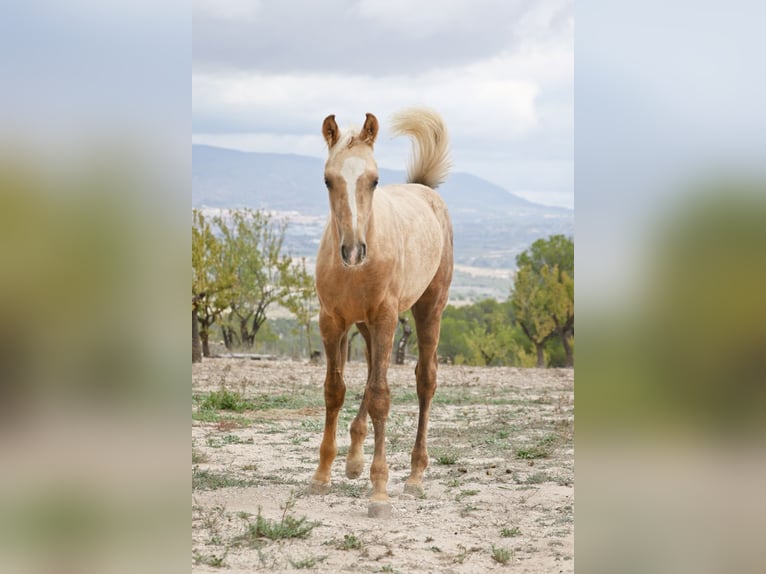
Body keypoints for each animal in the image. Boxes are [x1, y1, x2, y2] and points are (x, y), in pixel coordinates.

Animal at [310, 107, 456, 516]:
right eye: (327, 180)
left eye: (374, 180)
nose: (353, 251)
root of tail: (425, 192)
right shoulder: (332, 321)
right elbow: (335, 390)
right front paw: (322, 475)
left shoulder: (386, 319)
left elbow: (380, 397)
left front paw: (379, 492)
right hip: (365, 325)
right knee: (374, 372)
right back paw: (354, 459)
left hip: (428, 308)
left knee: (425, 380)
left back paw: (414, 476)